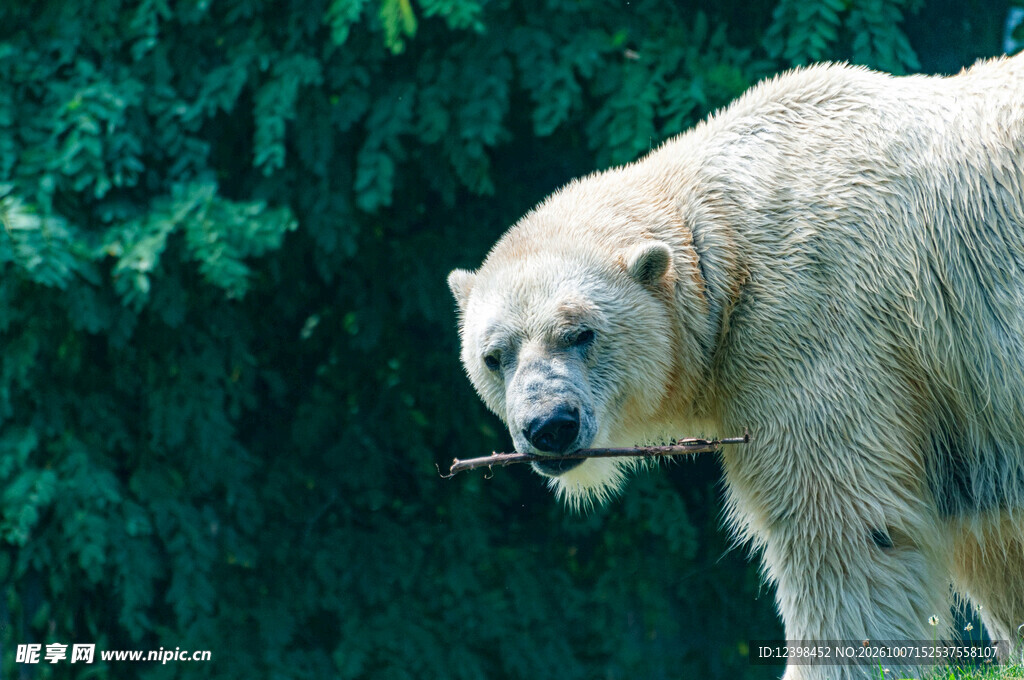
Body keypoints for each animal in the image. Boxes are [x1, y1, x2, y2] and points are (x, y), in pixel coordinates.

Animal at [448, 53, 1024, 680]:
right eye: (494, 356)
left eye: (581, 334)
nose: (550, 425)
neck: (725, 237)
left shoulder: (815, 328)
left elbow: (847, 533)